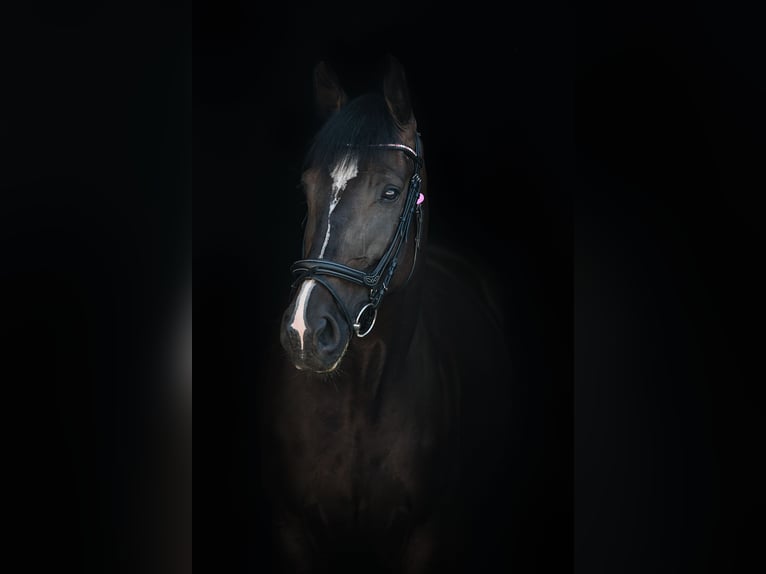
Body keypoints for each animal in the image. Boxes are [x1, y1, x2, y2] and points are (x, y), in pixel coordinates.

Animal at [259, 56, 513, 573]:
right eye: (307, 188)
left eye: (391, 193)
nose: (304, 331)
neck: (358, 403)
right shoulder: (290, 529)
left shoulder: (427, 537)